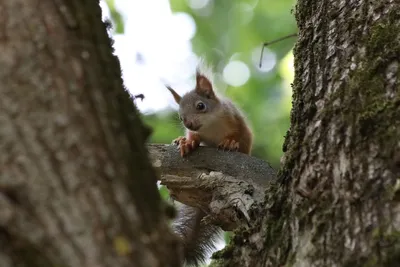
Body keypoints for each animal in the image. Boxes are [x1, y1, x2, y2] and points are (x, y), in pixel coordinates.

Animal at [166, 63, 253, 266]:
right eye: (180, 117)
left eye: (201, 106)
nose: (189, 124)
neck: (210, 126)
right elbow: (194, 138)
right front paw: (188, 142)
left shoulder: (235, 119)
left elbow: (239, 136)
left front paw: (230, 143)